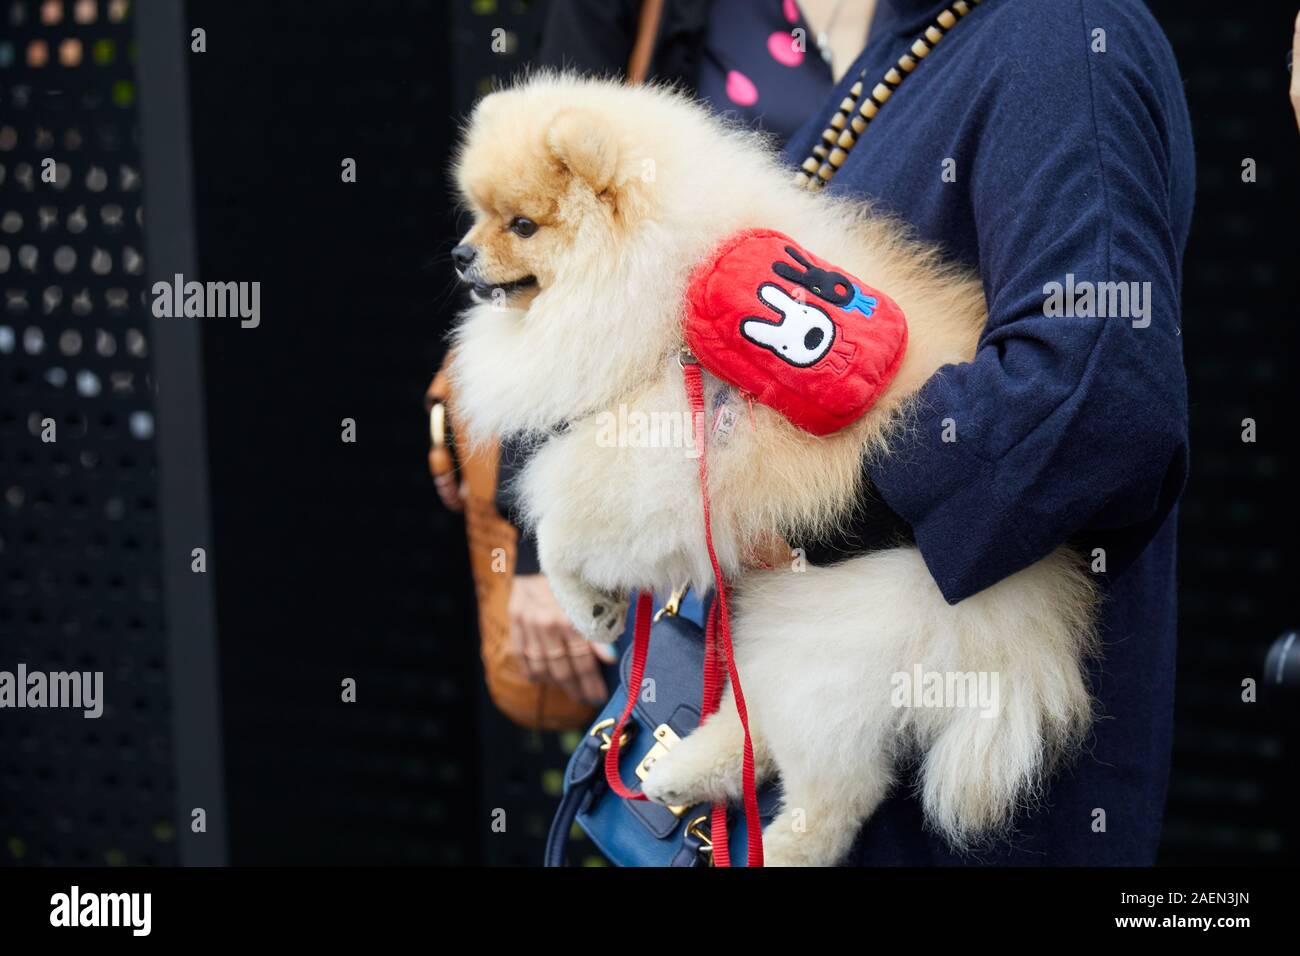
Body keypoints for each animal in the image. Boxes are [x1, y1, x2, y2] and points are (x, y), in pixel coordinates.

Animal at [447, 76, 1097, 868]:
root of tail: (1034, 611)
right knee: (752, 719)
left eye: (522, 225)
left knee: (837, 793)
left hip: (840, 639)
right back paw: (679, 772)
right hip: (789, 620)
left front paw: (589, 606)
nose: (459, 254)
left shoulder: (656, 457)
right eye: (477, 215)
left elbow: (560, 530)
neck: (669, 282)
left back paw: (774, 846)